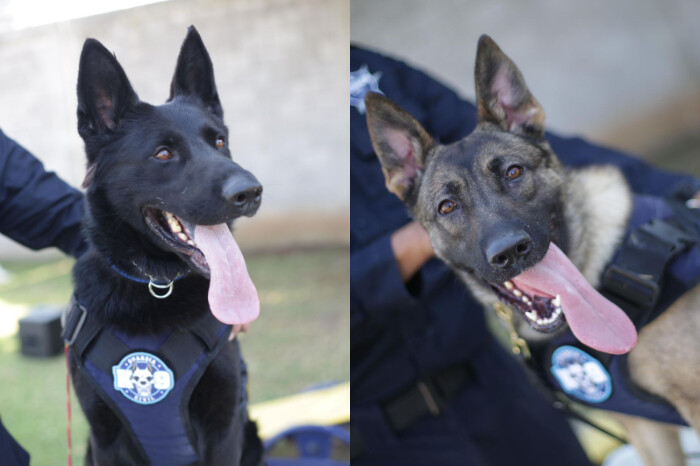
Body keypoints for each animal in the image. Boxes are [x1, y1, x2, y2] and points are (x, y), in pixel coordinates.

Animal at [64, 27, 266, 464]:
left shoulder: (225, 428)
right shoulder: (103, 438)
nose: (251, 192)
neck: (157, 286)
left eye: (220, 142)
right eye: (163, 153)